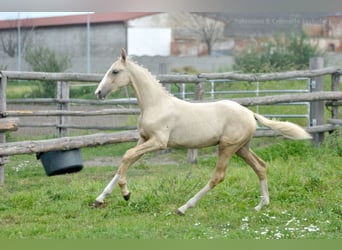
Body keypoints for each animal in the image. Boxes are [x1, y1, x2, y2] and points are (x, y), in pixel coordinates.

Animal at [93, 49, 312, 215]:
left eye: (115, 71)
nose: (98, 93)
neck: (156, 105)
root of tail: (250, 113)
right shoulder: (144, 139)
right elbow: (125, 162)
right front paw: (99, 199)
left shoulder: (158, 142)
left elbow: (126, 156)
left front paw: (126, 194)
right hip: (242, 148)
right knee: (261, 167)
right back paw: (261, 205)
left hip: (227, 147)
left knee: (218, 177)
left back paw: (183, 208)